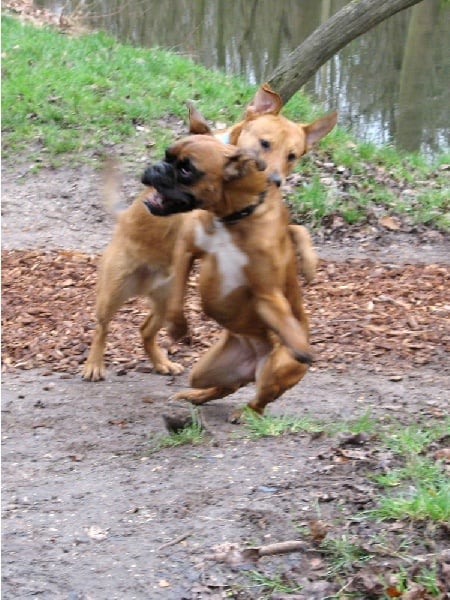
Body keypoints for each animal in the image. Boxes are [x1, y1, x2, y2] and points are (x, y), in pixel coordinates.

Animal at [82, 85, 334, 380]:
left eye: (292, 156)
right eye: (264, 143)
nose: (274, 180)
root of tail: (122, 217)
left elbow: (297, 229)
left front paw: (309, 262)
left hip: (162, 299)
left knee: (146, 330)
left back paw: (162, 362)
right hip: (115, 289)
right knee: (102, 326)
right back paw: (94, 364)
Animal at [142, 135, 312, 422]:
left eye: (186, 169)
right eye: (167, 156)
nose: (156, 168)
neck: (234, 217)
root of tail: (251, 361)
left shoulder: (266, 292)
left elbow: (283, 316)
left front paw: (299, 344)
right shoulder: (187, 251)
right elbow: (176, 296)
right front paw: (178, 328)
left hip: (273, 372)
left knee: (259, 402)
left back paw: (245, 413)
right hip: (203, 372)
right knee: (226, 386)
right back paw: (195, 396)